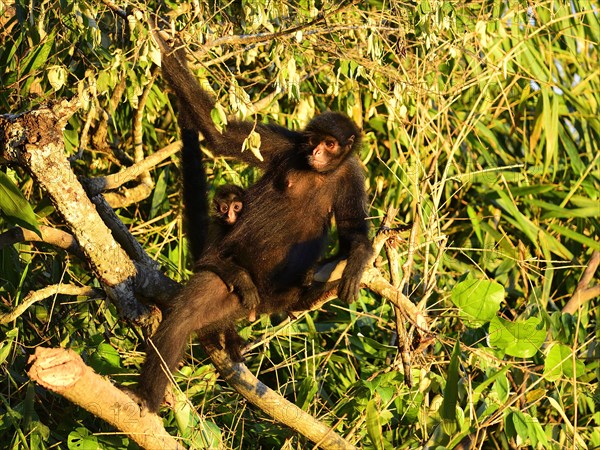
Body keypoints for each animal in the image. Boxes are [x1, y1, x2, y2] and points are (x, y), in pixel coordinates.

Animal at [138, 33, 372, 414]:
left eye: (330, 143)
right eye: (312, 141)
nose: (316, 152)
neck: (320, 172)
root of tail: (262, 300)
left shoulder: (352, 174)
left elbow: (353, 230)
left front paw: (358, 262)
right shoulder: (287, 144)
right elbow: (218, 134)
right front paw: (158, 37)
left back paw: (306, 294)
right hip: (234, 283)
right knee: (188, 311)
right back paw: (144, 396)